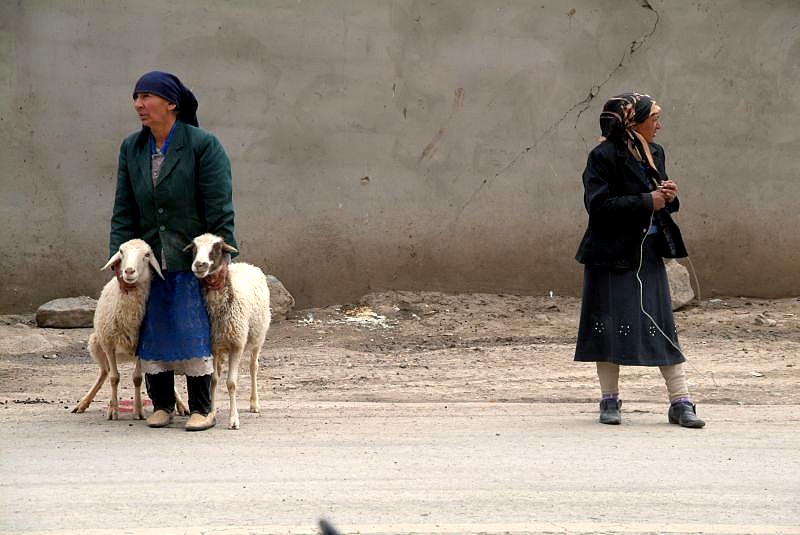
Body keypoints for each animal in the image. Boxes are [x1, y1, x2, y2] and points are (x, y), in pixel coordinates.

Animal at [72, 241, 188, 420]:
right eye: (121, 251)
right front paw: (113, 411)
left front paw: (138, 411)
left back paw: (181, 404)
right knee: (104, 372)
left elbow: (137, 379)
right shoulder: (108, 344)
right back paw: (85, 403)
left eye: (147, 255)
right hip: (96, 344)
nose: (129, 271)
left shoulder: (141, 346)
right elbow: (114, 378)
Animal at [184, 234, 272, 432]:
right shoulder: (214, 345)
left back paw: (254, 403)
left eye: (217, 248)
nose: (199, 265)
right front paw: (211, 413)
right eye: (194, 248)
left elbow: (231, 383)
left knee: (253, 367)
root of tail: (248, 265)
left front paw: (233, 420)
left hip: (258, 337)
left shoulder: (236, 344)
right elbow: (214, 380)